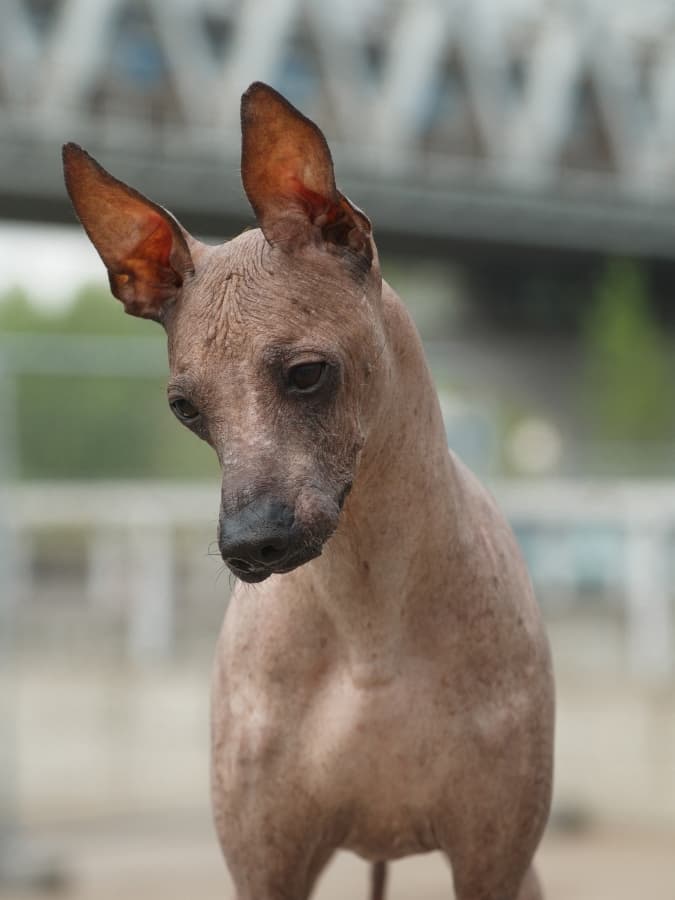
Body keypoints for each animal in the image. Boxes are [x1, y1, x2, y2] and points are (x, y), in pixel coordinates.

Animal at [64, 82, 556, 900]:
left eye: (305, 373)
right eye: (185, 408)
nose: (249, 545)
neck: (367, 619)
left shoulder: (492, 859)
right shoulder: (266, 865)